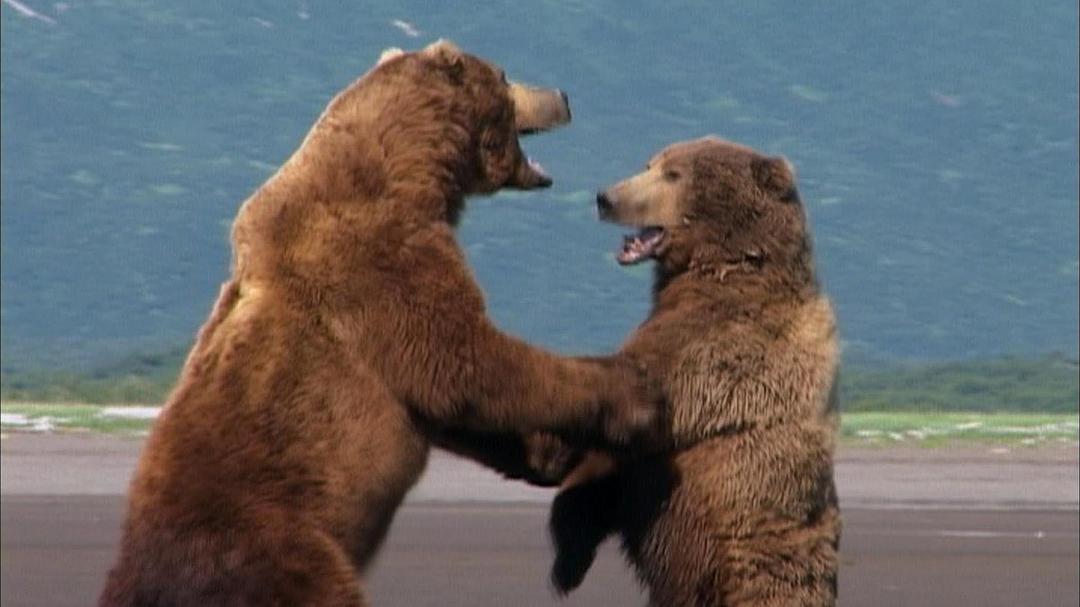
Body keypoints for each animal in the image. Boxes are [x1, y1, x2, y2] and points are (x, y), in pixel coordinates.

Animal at [98, 41, 662, 607]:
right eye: (505, 75)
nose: (562, 95)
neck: (413, 172)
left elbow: (459, 408)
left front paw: (554, 452)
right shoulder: (383, 266)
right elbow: (468, 363)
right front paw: (631, 392)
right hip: (281, 546)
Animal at [541, 137, 841, 606]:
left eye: (673, 174)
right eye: (650, 164)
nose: (606, 197)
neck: (726, 263)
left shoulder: (712, 350)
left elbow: (631, 408)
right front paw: (568, 561)